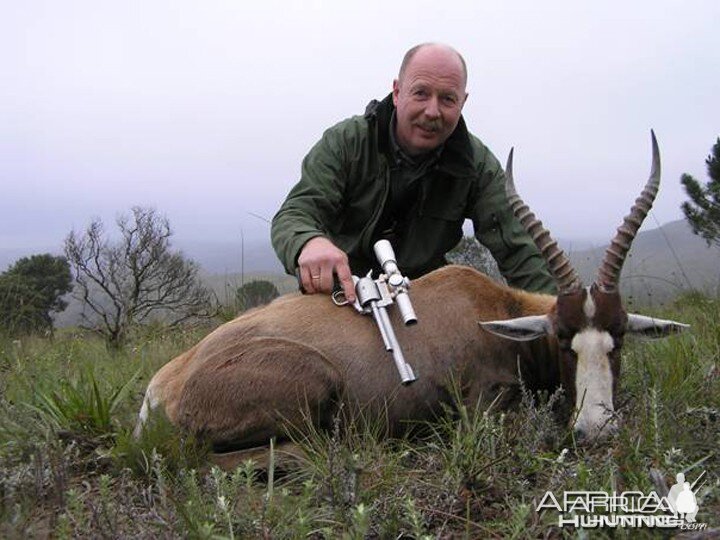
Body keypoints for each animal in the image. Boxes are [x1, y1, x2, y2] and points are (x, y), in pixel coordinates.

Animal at [135, 132, 688, 464]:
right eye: (563, 338)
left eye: (618, 338)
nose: (596, 430)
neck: (494, 310)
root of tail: (166, 384)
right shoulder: (483, 410)